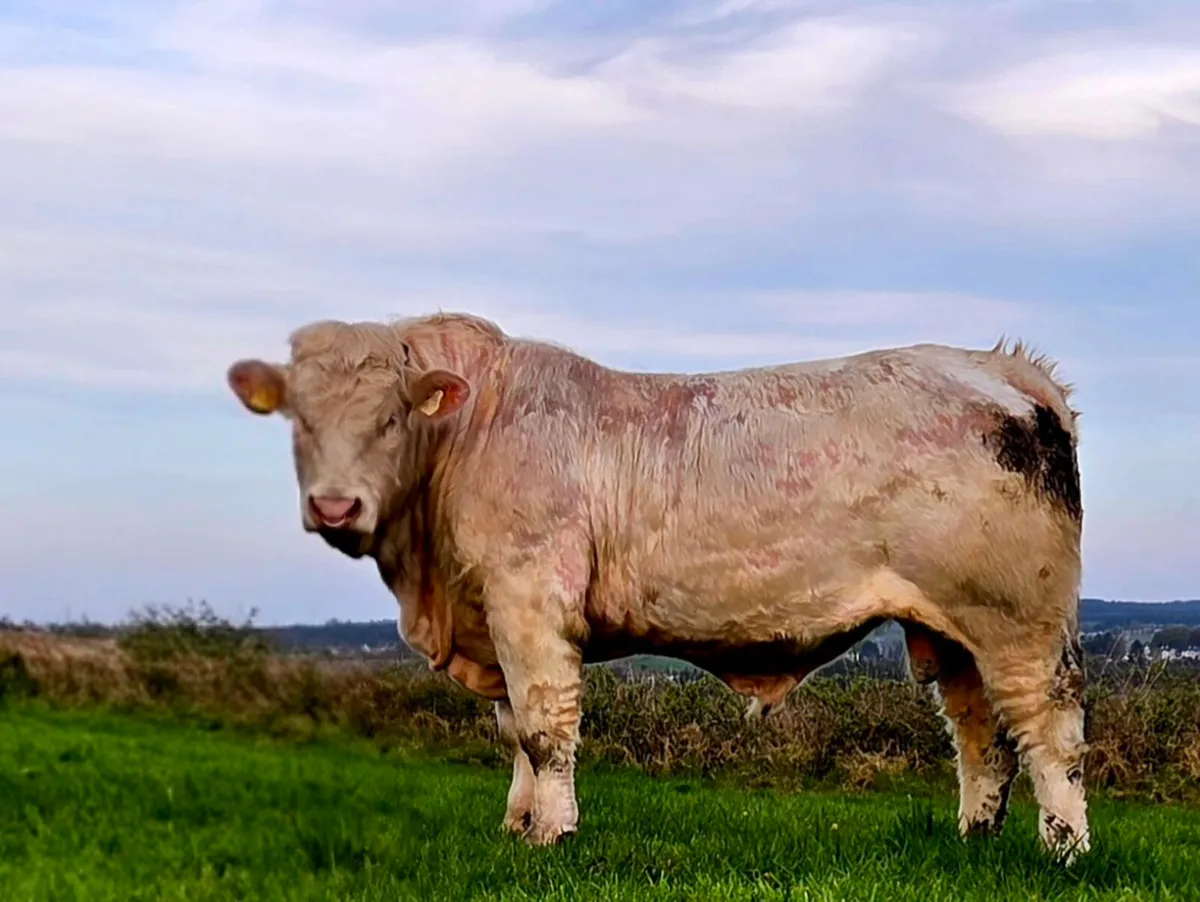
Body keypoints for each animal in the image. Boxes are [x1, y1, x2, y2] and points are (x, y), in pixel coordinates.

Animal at [225, 312, 1089, 861]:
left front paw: (552, 835)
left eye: (392, 418)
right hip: (951, 629)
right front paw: (516, 827)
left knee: (1050, 726)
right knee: (981, 734)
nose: (335, 506)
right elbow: (513, 732)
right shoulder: (495, 621)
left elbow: (544, 729)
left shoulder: (529, 602)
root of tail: (1001, 365)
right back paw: (975, 839)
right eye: (301, 421)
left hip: (1021, 617)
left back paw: (1065, 848)